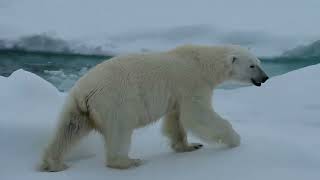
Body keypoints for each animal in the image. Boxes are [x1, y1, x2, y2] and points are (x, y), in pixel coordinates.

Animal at [38, 44, 268, 171]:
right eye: (252, 65)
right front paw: (235, 139)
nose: (265, 77)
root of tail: (84, 93)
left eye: (259, 62)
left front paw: (189, 146)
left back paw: (53, 163)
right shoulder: (192, 82)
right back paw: (127, 161)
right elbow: (197, 115)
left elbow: (176, 120)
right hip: (116, 102)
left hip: (77, 107)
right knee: (120, 131)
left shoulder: (177, 93)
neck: (202, 62)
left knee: (68, 129)